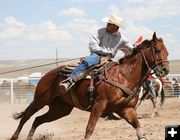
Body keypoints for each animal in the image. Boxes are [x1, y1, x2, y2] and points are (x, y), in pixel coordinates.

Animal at [10, 32, 169, 140]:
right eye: (157, 50)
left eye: (167, 52)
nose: (165, 70)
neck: (124, 76)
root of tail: (47, 74)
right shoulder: (99, 104)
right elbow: (90, 128)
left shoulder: (126, 109)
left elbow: (138, 127)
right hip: (40, 100)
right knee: (26, 117)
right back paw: (14, 136)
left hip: (60, 109)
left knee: (38, 120)